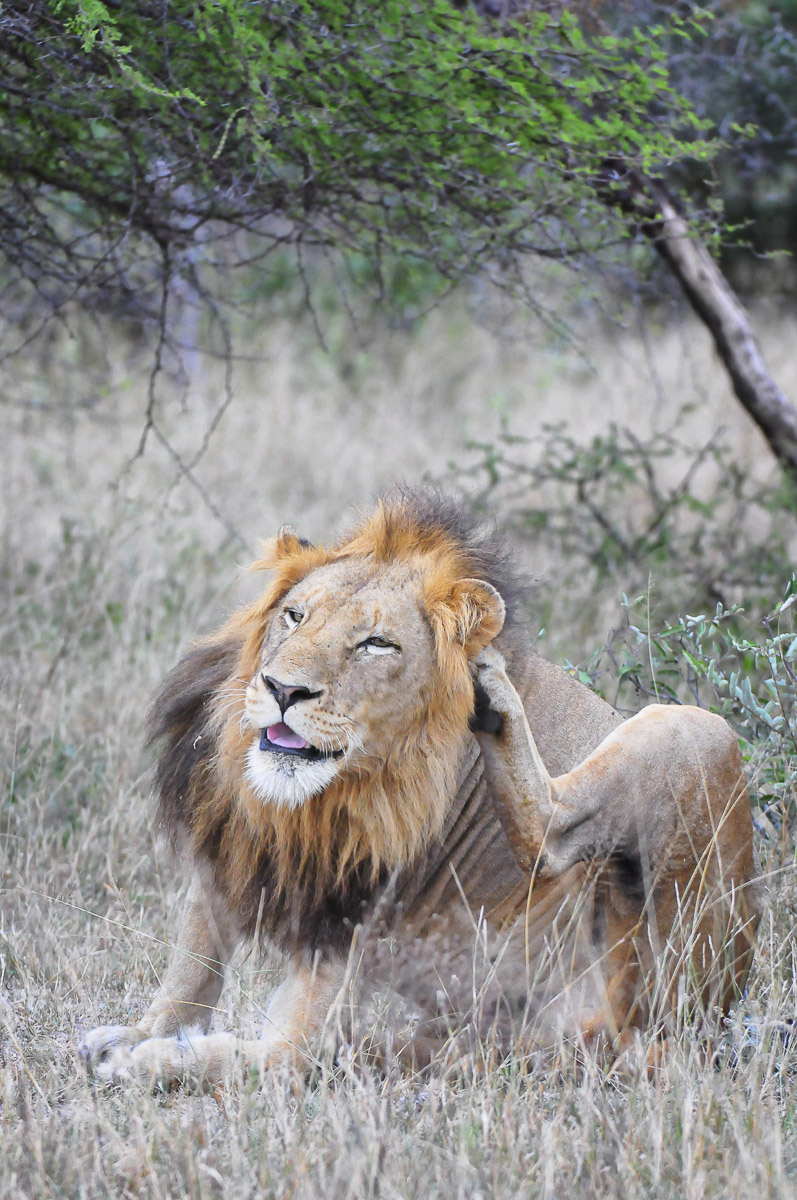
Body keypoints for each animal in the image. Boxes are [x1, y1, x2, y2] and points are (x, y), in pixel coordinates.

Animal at [80, 489, 761, 1087]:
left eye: (376, 643)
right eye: (295, 616)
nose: (282, 689)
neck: (308, 807)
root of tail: (703, 1029)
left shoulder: (328, 971)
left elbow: (266, 1056)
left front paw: (145, 1060)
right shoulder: (233, 847)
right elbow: (192, 960)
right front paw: (140, 1031)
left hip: (698, 735)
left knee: (551, 835)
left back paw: (490, 688)